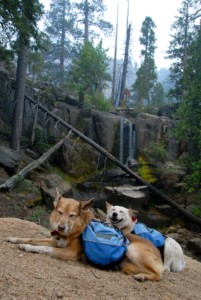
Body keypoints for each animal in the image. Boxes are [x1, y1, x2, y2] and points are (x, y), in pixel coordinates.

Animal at [6, 191, 164, 280]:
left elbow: (45, 249)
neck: (73, 232)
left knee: (158, 275)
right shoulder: (55, 241)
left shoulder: (70, 252)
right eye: (60, 212)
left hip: (132, 248)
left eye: (72, 215)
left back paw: (142, 276)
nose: (61, 227)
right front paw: (14, 238)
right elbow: (32, 238)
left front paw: (27, 247)